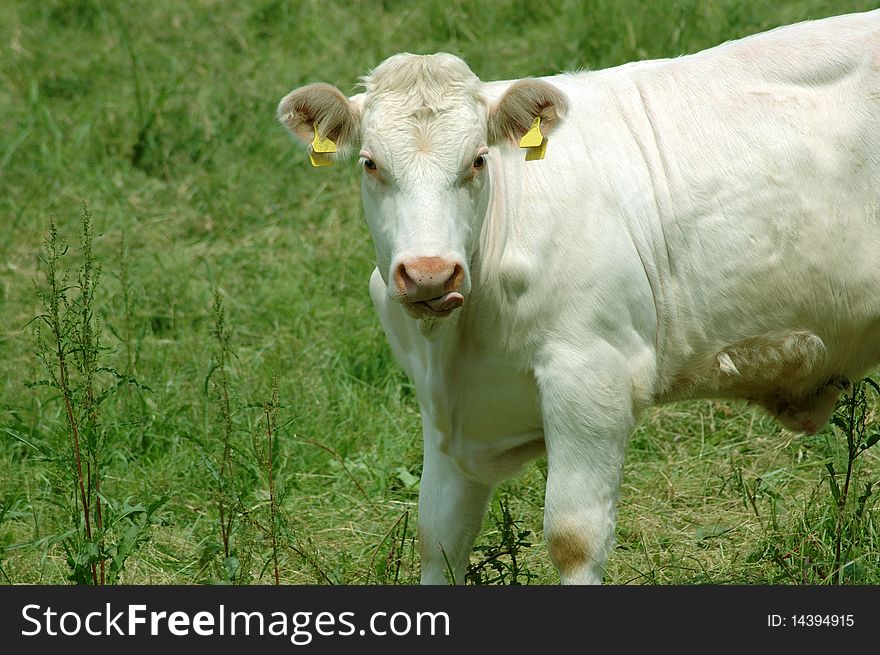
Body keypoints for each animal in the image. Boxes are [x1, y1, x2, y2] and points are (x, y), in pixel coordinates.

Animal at [278, 10, 880, 584]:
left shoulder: (593, 377)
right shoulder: (443, 412)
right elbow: (438, 540)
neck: (456, 343)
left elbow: (573, 539)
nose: (430, 274)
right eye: (371, 163)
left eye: (477, 160)